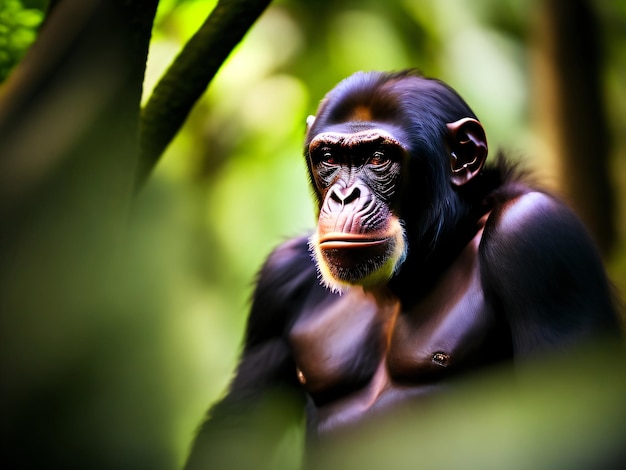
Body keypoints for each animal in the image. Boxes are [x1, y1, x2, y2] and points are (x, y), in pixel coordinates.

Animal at [182, 70, 620, 470]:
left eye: (378, 158)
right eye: (329, 159)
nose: (344, 195)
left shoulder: (538, 238)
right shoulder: (279, 280)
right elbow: (240, 428)